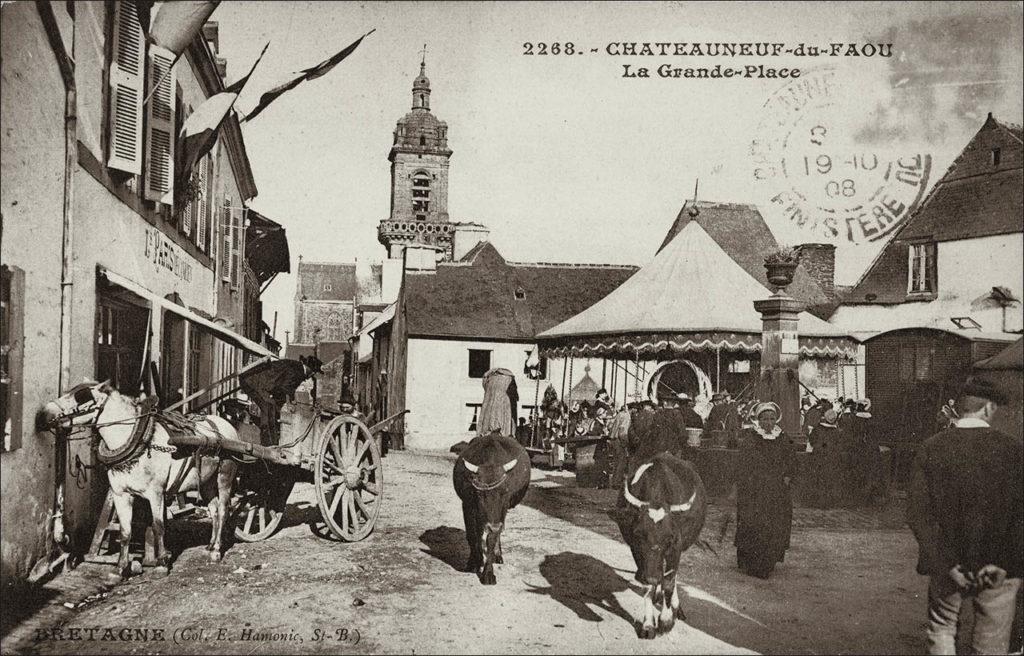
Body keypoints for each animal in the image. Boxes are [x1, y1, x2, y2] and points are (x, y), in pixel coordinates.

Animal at [46, 380, 243, 581]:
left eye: (82, 396)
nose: (45, 413)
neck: (137, 439)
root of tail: (226, 425)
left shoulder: (156, 494)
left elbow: (158, 526)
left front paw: (162, 563)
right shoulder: (121, 494)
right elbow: (125, 531)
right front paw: (120, 569)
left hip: (224, 476)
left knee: (223, 509)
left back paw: (217, 550)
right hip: (206, 482)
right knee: (214, 510)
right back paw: (210, 545)